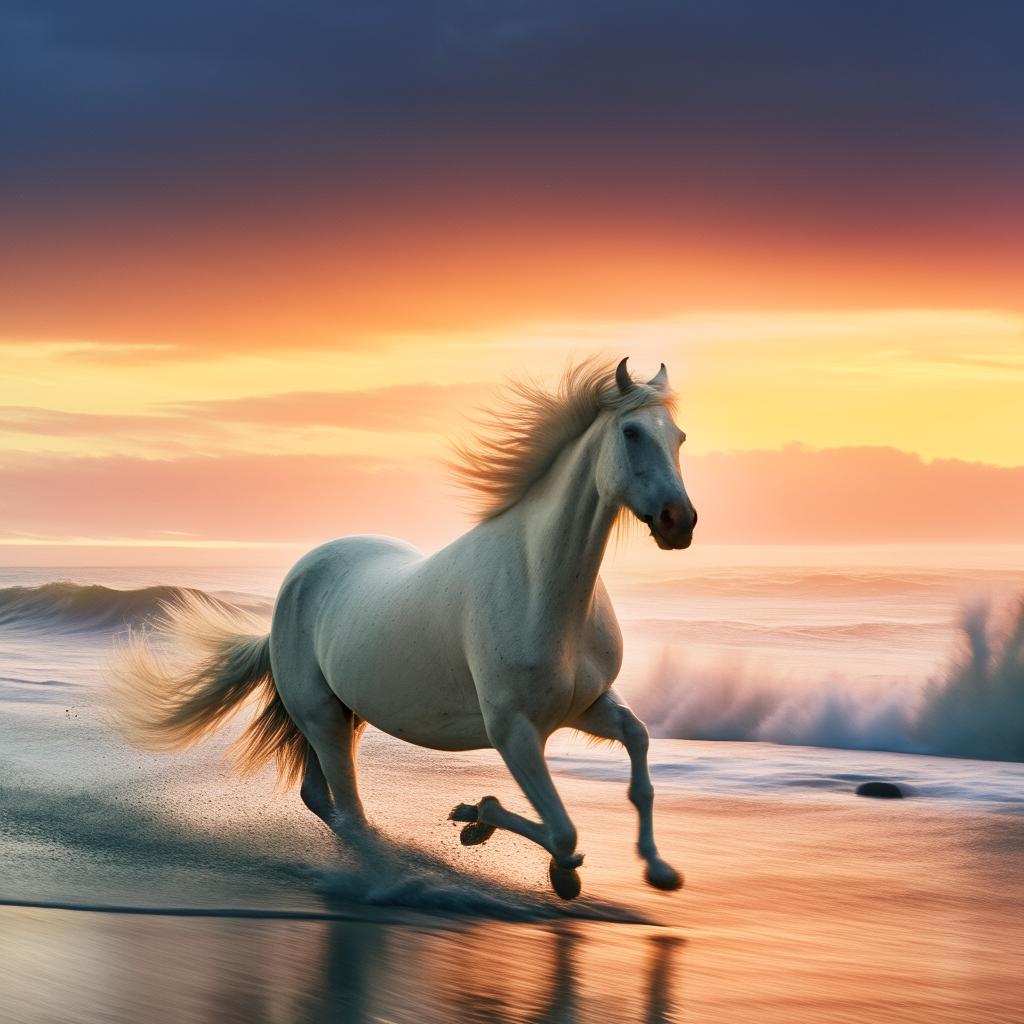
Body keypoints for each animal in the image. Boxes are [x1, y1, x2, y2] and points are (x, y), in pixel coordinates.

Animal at [116, 358, 700, 897]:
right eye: (631, 432)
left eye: (678, 437)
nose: (681, 522)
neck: (543, 587)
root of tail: (292, 587)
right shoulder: (514, 730)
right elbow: (563, 831)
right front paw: (480, 820)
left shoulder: (584, 705)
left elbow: (638, 747)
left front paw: (657, 869)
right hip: (322, 719)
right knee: (347, 808)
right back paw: (388, 873)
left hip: (341, 716)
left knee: (320, 798)